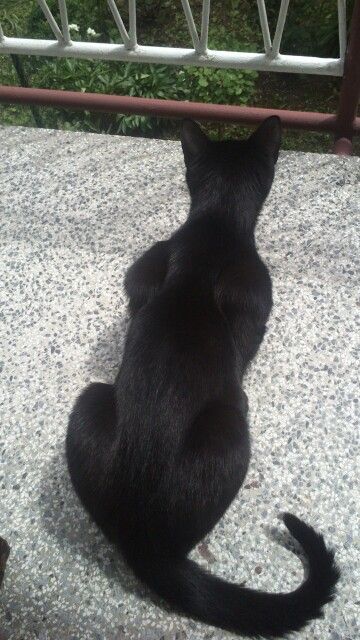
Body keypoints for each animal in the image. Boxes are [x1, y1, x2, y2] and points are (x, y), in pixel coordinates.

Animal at [66, 119, 338, 636]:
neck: (213, 225)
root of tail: (143, 544)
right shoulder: (255, 297)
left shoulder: (141, 273)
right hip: (230, 427)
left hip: (90, 399)